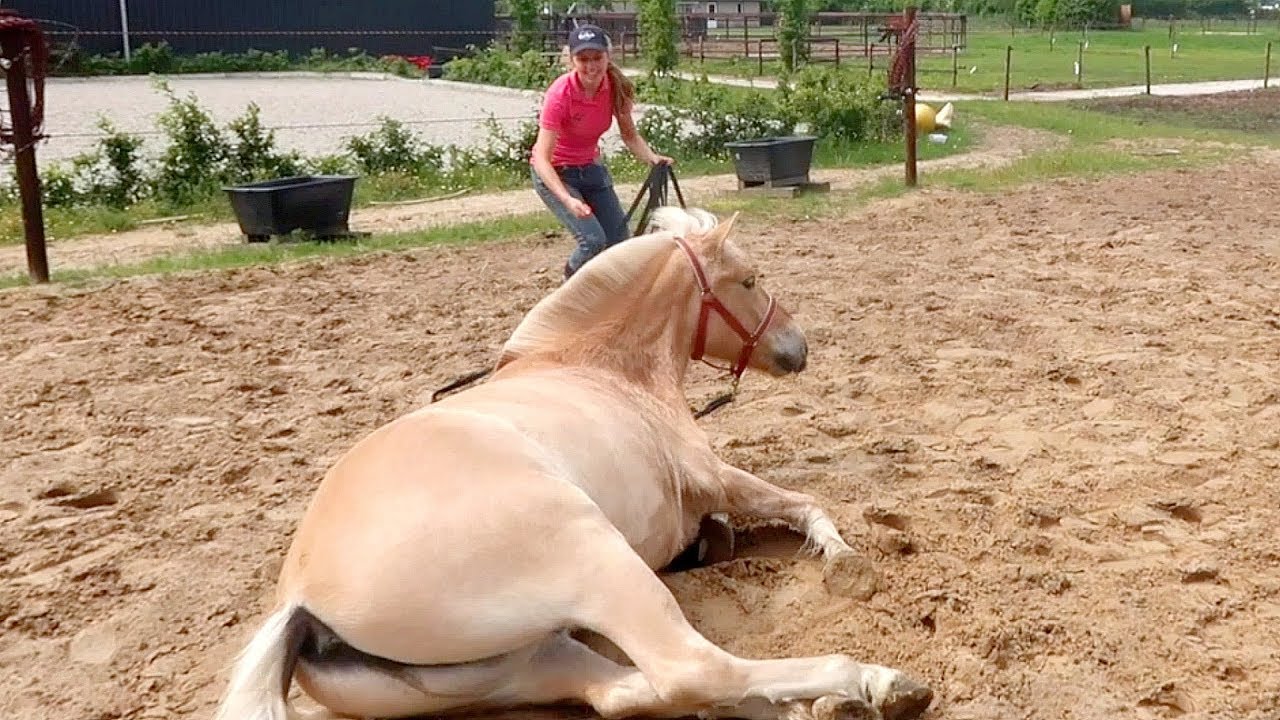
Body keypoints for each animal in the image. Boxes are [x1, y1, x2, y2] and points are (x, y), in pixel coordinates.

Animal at [212, 207, 934, 720]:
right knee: (694, 671)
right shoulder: (710, 478)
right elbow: (803, 504)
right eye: (750, 281)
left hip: (527, 662)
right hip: (602, 565)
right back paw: (866, 682)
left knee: (625, 693)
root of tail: (303, 608)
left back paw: (833, 702)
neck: (603, 367)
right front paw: (845, 561)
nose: (798, 349)